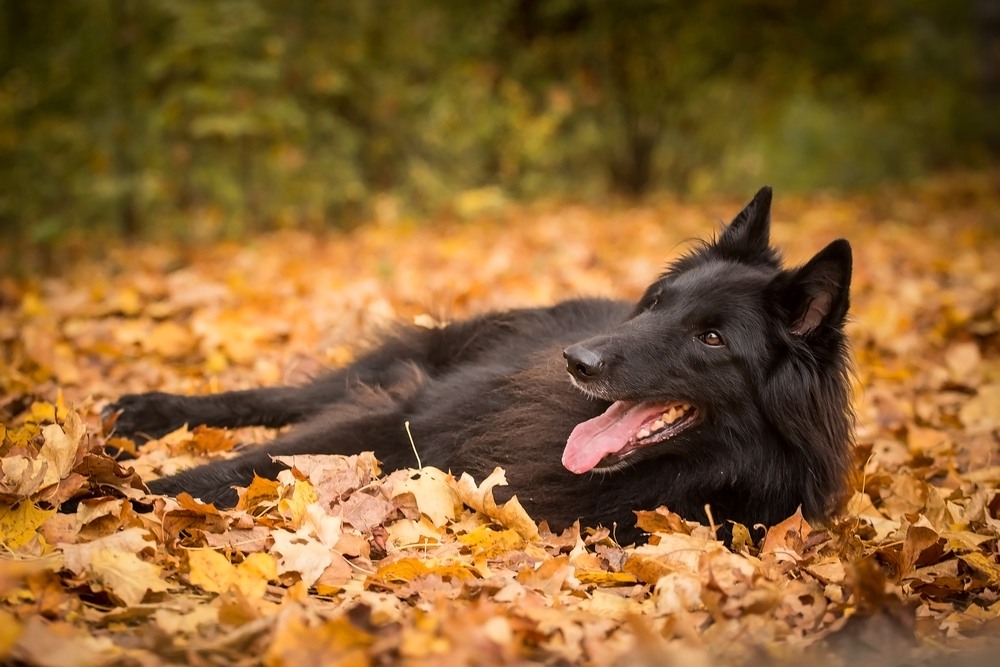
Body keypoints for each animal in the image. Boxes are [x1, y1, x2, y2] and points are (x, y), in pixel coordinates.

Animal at [103, 187, 852, 544]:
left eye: (712, 338)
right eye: (658, 304)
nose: (577, 360)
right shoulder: (412, 415)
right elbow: (249, 459)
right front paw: (126, 489)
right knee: (283, 398)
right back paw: (145, 411)